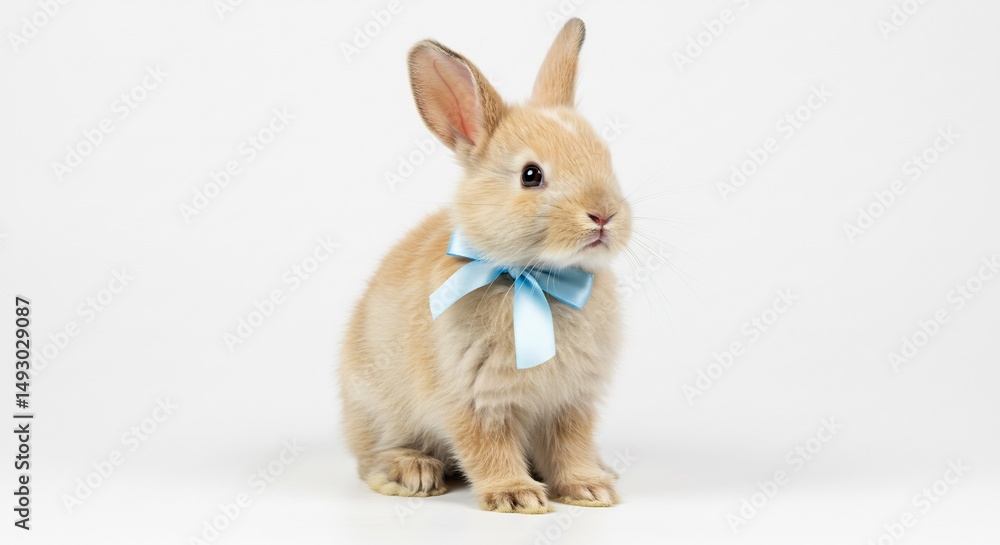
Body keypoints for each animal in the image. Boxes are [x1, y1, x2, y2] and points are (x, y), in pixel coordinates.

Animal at [339, 18, 632, 514]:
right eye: (531, 175)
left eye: (605, 158)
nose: (604, 215)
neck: (535, 278)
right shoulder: (473, 400)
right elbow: (486, 447)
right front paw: (516, 497)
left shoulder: (572, 402)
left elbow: (571, 446)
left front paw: (589, 489)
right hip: (379, 411)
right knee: (371, 458)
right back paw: (413, 473)